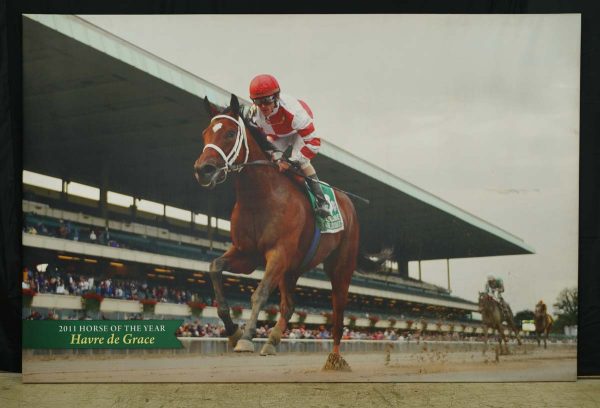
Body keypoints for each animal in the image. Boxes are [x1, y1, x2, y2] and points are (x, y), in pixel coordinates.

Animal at [195, 95, 386, 370]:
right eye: (205, 133)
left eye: (230, 133)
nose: (203, 170)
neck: (260, 196)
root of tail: (349, 205)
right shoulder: (246, 254)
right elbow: (214, 268)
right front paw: (233, 331)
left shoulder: (278, 253)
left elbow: (260, 293)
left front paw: (247, 336)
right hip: (292, 270)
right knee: (289, 306)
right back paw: (272, 341)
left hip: (339, 267)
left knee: (338, 315)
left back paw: (335, 359)